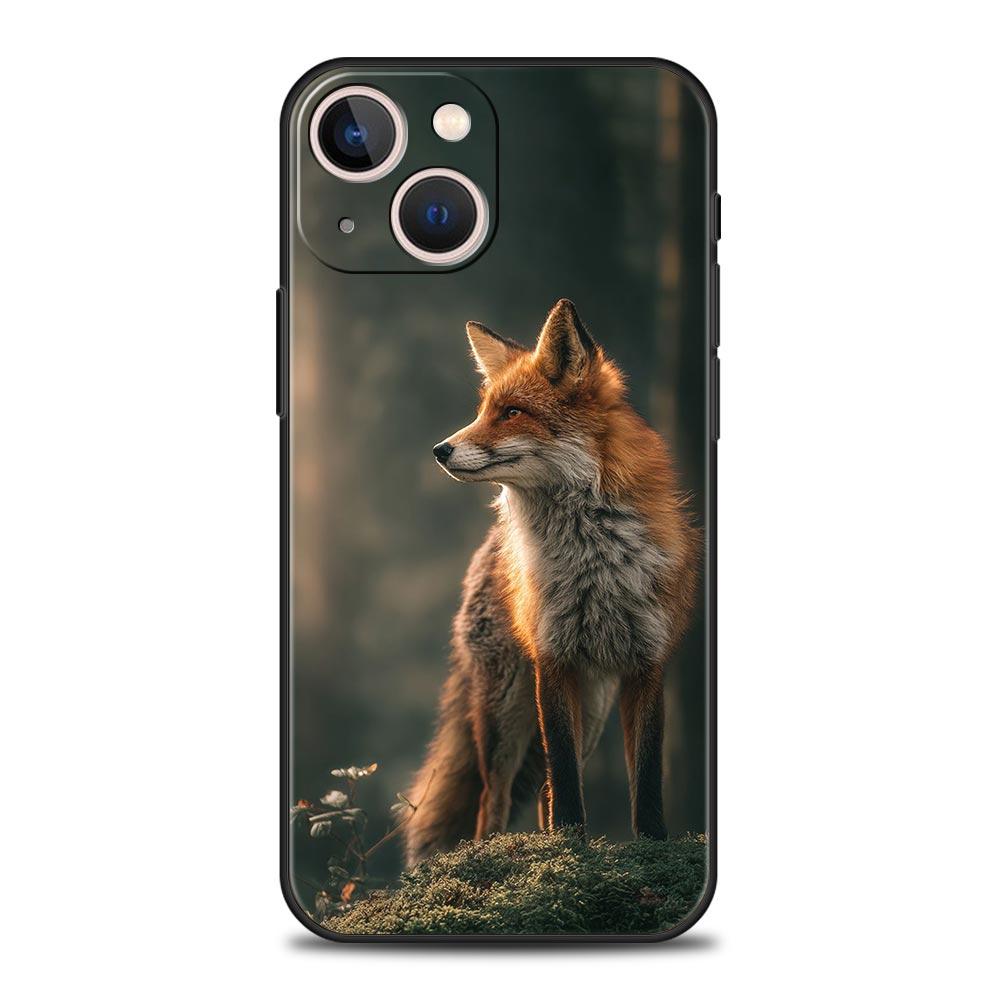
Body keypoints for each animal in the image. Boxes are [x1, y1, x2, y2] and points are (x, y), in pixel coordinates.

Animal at [403, 298, 699, 867]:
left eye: (512, 413)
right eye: (483, 411)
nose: (438, 450)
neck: (593, 556)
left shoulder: (647, 664)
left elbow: (645, 773)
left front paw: (649, 845)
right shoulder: (553, 657)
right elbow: (562, 776)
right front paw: (568, 842)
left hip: (594, 705)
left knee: (543, 785)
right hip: (507, 709)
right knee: (494, 796)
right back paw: (492, 850)